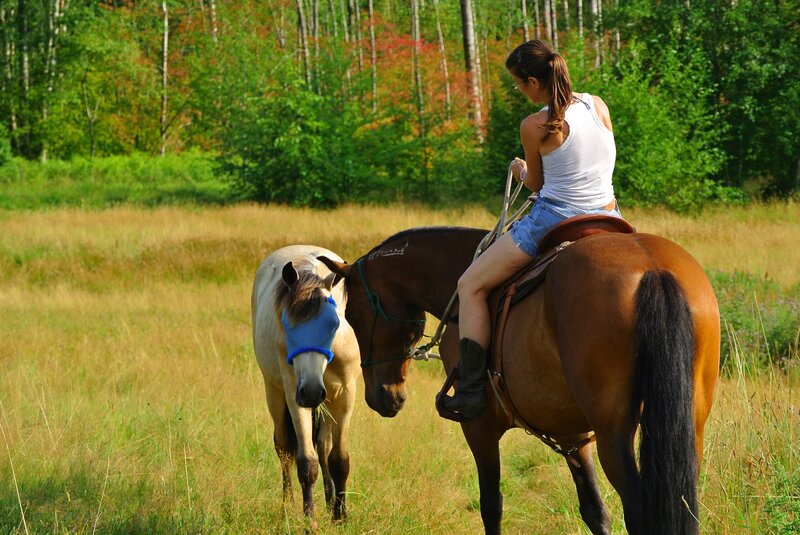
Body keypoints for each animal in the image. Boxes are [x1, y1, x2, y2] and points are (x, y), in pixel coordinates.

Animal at [251, 245, 360, 528]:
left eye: (333, 324)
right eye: (287, 325)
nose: (311, 391)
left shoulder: (345, 395)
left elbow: (339, 459)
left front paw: (340, 516)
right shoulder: (294, 394)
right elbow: (306, 463)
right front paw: (309, 521)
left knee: (324, 447)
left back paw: (330, 501)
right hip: (275, 393)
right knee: (284, 448)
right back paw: (288, 506)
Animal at [318, 225, 720, 535]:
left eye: (353, 314)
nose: (384, 397)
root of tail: (651, 269)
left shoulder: (479, 428)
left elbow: (491, 506)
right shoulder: (573, 436)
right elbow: (595, 511)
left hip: (615, 436)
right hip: (688, 432)